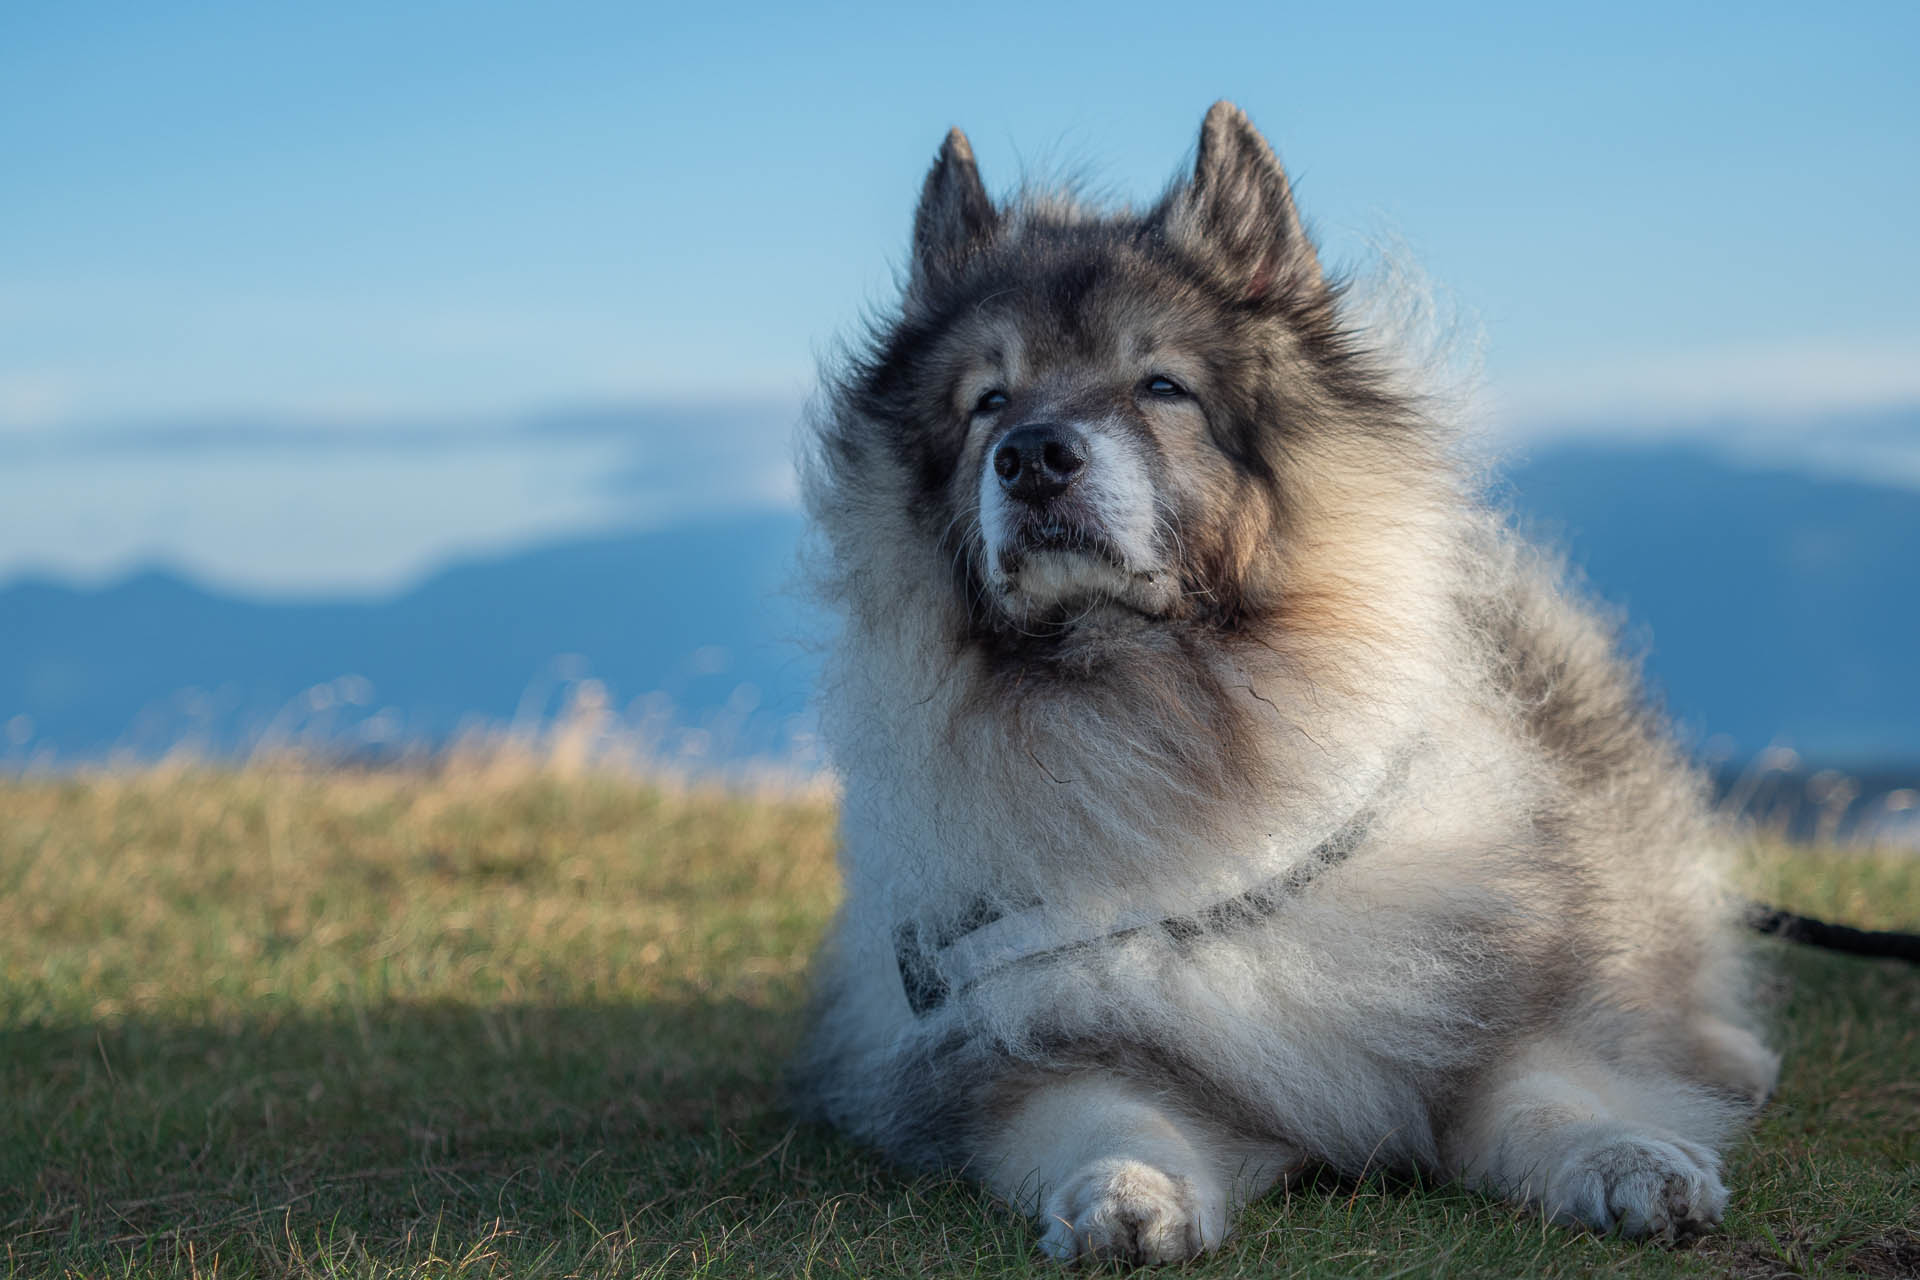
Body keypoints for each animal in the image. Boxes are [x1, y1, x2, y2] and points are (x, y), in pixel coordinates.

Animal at [787, 100, 1774, 1258]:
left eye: (1162, 386)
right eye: (989, 401)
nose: (1033, 456)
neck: (1167, 723)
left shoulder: (1499, 1018)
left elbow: (1555, 1095)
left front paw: (1634, 1160)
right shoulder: (1030, 1057)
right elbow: (1106, 1116)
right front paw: (1124, 1194)